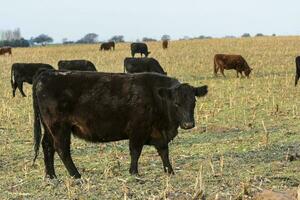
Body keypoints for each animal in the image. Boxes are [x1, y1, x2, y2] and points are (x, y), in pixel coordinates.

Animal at [31, 70, 207, 178]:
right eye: (176, 103)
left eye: (194, 102)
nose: (188, 124)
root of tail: (47, 73)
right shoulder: (137, 130)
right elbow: (135, 151)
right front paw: (134, 172)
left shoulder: (158, 133)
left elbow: (164, 151)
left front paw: (169, 171)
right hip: (59, 127)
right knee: (62, 149)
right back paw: (76, 175)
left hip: (49, 127)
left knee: (47, 146)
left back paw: (51, 176)